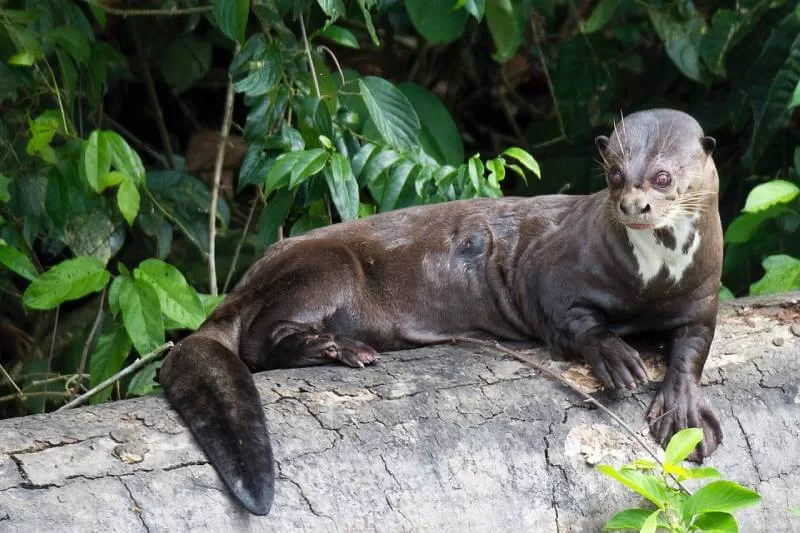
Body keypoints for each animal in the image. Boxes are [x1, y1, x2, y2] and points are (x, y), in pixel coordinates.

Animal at [159, 108, 723, 515]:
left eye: (663, 177)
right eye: (614, 175)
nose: (633, 205)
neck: (651, 283)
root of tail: (245, 282)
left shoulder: (703, 293)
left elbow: (695, 345)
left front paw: (685, 409)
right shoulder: (551, 270)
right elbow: (572, 319)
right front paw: (615, 356)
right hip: (324, 266)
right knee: (257, 341)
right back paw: (336, 347)